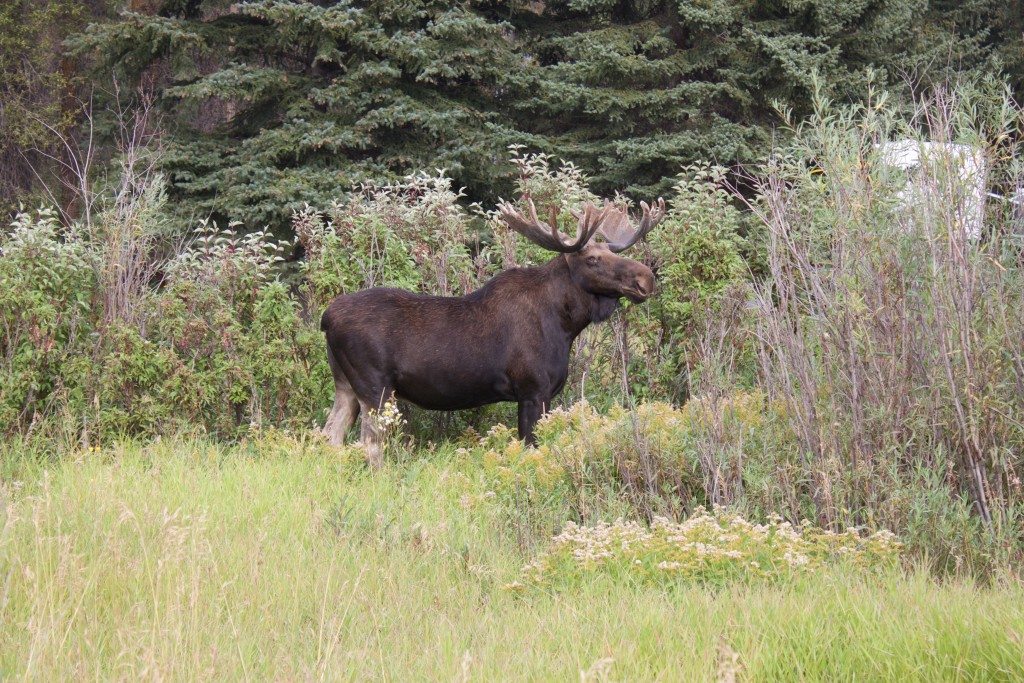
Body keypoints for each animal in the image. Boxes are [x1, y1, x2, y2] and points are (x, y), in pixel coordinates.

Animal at [323, 194, 667, 466]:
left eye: (613, 253)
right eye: (593, 259)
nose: (646, 279)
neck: (566, 325)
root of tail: (325, 319)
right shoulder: (532, 390)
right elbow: (532, 447)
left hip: (346, 384)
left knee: (330, 436)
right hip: (375, 385)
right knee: (369, 444)